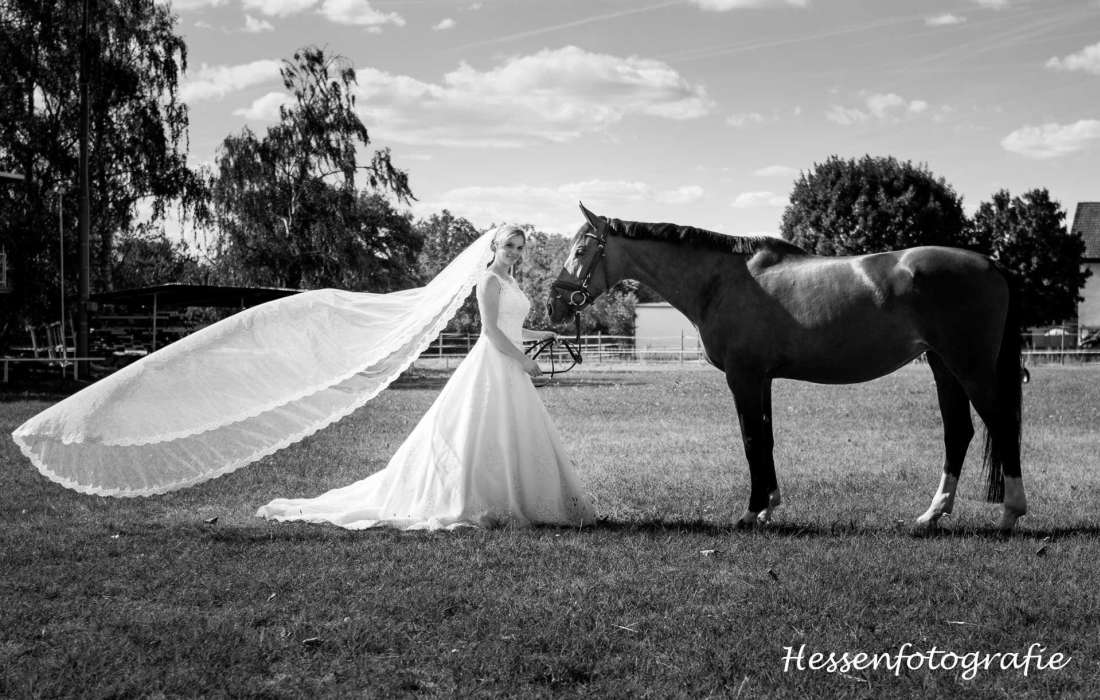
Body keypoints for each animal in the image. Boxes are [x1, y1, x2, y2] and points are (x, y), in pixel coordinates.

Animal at [547, 203, 1026, 532]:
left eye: (580, 249)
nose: (554, 304)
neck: (722, 281)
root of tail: (992, 264)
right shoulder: (762, 379)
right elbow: (767, 439)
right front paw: (768, 506)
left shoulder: (743, 377)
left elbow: (750, 440)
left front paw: (750, 512)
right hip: (945, 367)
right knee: (958, 433)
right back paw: (932, 514)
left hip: (970, 367)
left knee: (1001, 425)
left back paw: (1011, 513)